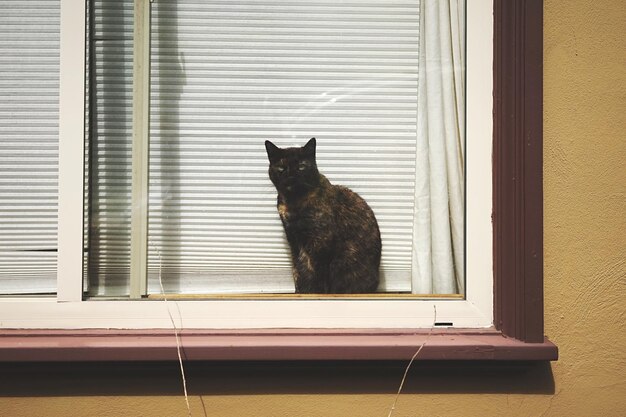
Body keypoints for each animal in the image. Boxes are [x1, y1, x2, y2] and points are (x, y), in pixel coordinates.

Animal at [264, 136, 380, 292]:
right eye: (281, 168)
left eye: (301, 166)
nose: (291, 177)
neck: (294, 203)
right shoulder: (293, 239)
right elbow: (298, 270)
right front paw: (300, 291)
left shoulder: (322, 242)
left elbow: (317, 274)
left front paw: (316, 292)